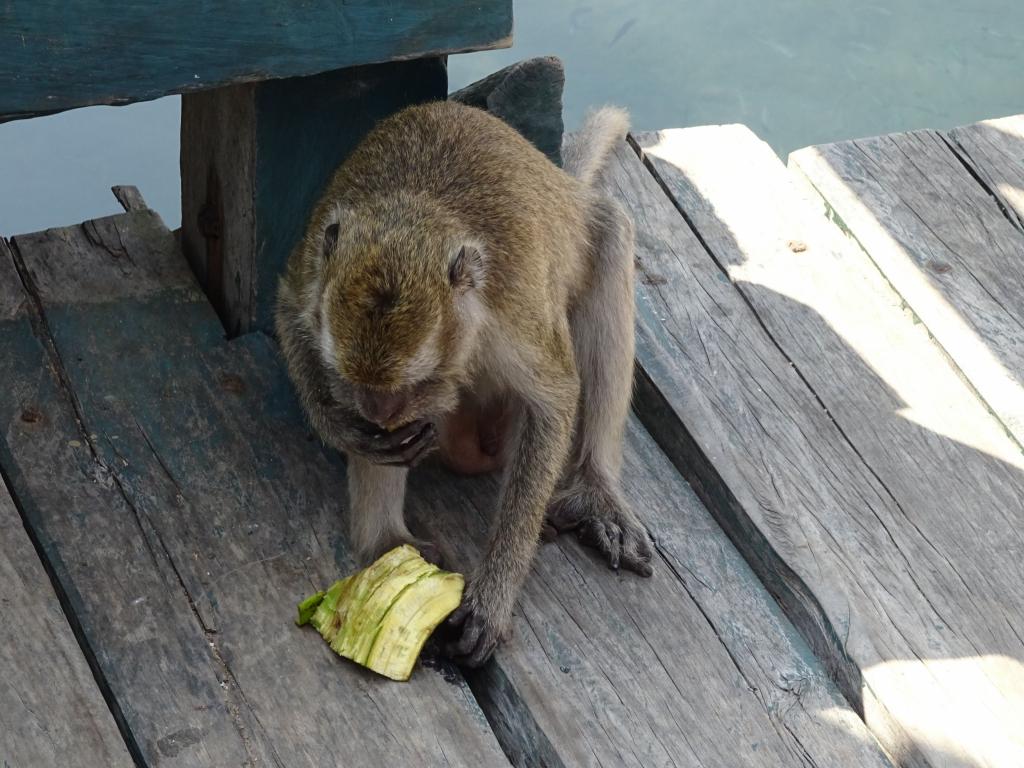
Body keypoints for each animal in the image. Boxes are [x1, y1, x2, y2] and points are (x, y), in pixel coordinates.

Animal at [276, 102, 651, 667]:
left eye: (421, 381)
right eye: (349, 378)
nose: (379, 413)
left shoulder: (515, 309)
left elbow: (554, 398)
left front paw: (493, 599)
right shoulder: (316, 275)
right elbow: (288, 311)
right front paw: (339, 425)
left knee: (609, 237)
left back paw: (596, 489)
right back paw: (385, 540)